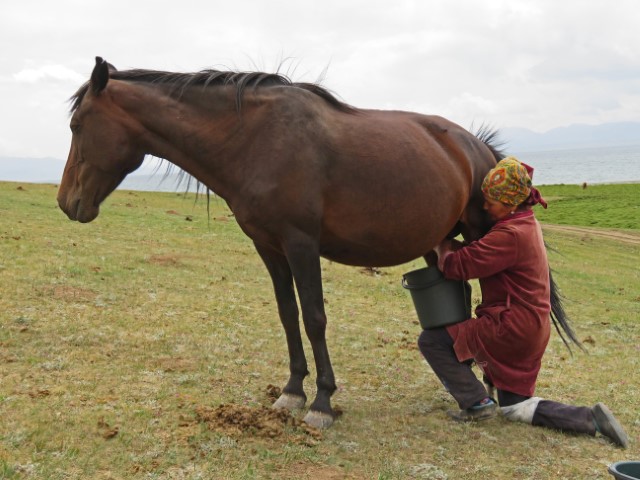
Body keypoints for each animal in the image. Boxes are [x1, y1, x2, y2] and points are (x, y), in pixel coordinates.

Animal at [58, 56, 500, 428]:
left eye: (77, 126)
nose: (66, 202)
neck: (254, 140)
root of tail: (476, 146)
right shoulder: (269, 247)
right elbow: (289, 315)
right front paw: (292, 392)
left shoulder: (300, 244)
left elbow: (314, 318)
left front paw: (321, 403)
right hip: (438, 243)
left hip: (479, 234)